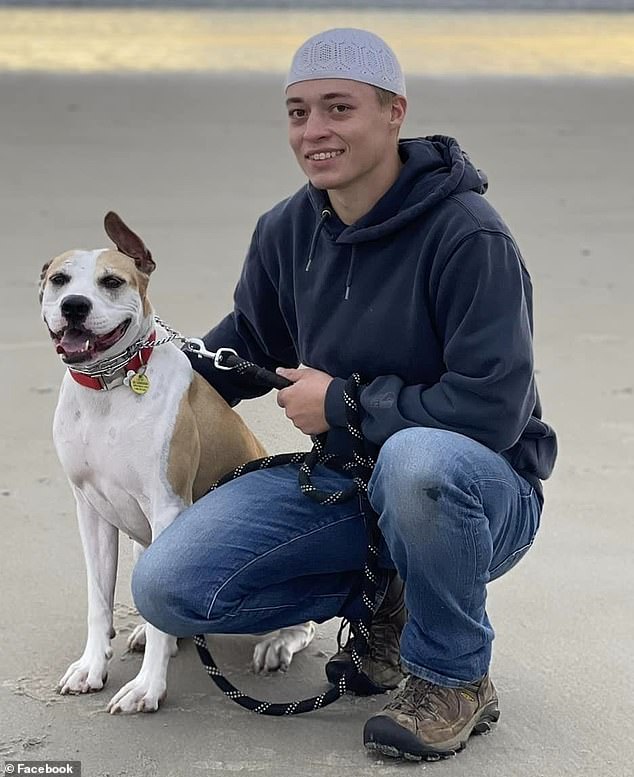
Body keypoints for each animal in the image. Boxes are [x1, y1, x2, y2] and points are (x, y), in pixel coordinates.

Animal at [39, 214, 314, 716]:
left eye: (111, 282)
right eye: (60, 280)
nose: (74, 306)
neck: (110, 388)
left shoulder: (166, 507)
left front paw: (147, 688)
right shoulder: (91, 511)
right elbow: (98, 601)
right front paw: (92, 667)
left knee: (302, 619)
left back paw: (277, 643)